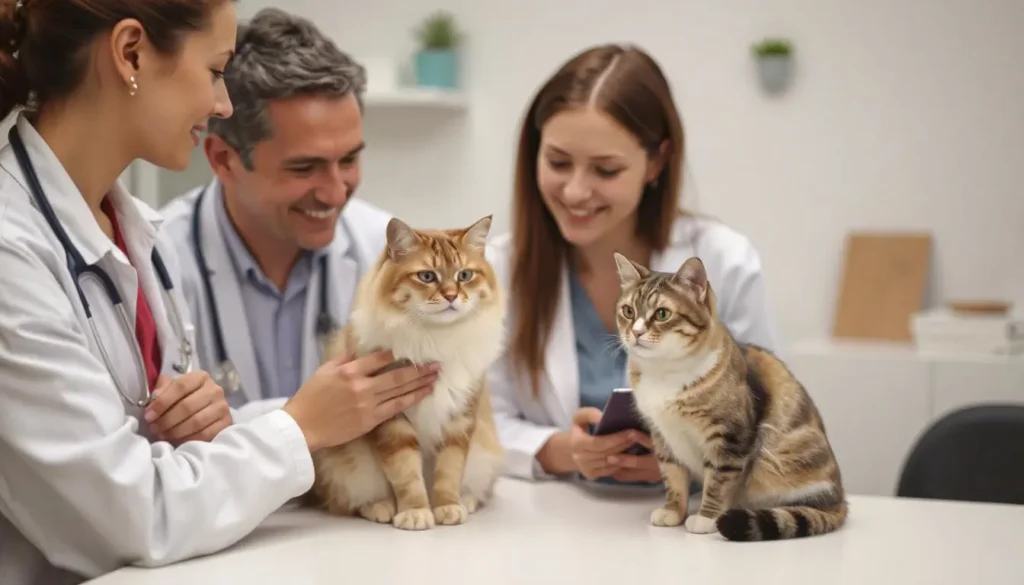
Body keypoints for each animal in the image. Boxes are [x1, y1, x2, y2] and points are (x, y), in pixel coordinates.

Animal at [301, 214, 505, 532]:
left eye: (464, 275)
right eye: (427, 277)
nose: (451, 296)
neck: (436, 340)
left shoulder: (460, 420)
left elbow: (449, 472)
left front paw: (448, 507)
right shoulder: (392, 424)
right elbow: (407, 476)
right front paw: (416, 513)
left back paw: (467, 501)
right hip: (349, 467)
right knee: (349, 502)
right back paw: (380, 507)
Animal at [610, 252, 843, 540]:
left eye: (662, 313)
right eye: (628, 311)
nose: (636, 332)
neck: (664, 372)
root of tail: (840, 502)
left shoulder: (730, 438)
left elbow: (718, 481)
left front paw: (706, 518)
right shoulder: (662, 436)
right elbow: (673, 477)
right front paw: (673, 512)